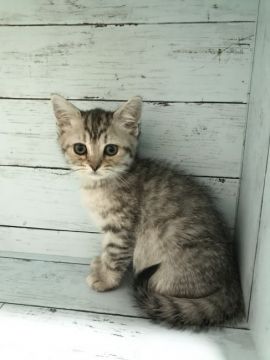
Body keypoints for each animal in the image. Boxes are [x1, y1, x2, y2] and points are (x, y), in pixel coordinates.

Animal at [51, 94, 245, 328]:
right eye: (80, 149)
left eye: (110, 150)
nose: (94, 166)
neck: (101, 184)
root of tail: (232, 281)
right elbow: (106, 249)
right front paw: (101, 265)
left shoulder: (123, 228)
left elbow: (114, 254)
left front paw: (106, 279)